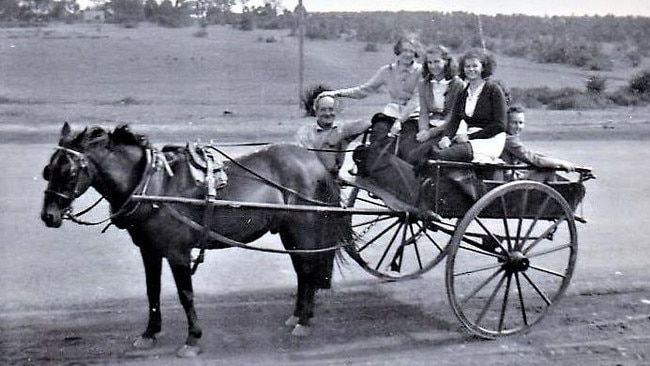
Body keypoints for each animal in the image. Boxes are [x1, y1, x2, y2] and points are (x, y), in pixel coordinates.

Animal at [40, 123, 350, 358]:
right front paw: (149, 333)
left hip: (302, 227)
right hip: (289, 231)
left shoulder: (178, 252)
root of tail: (313, 161)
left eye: (69, 172)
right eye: (47, 171)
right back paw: (297, 316)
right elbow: (152, 291)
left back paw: (305, 321)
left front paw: (192, 339)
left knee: (307, 269)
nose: (48, 215)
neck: (154, 186)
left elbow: (185, 295)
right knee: (301, 270)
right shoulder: (149, 251)